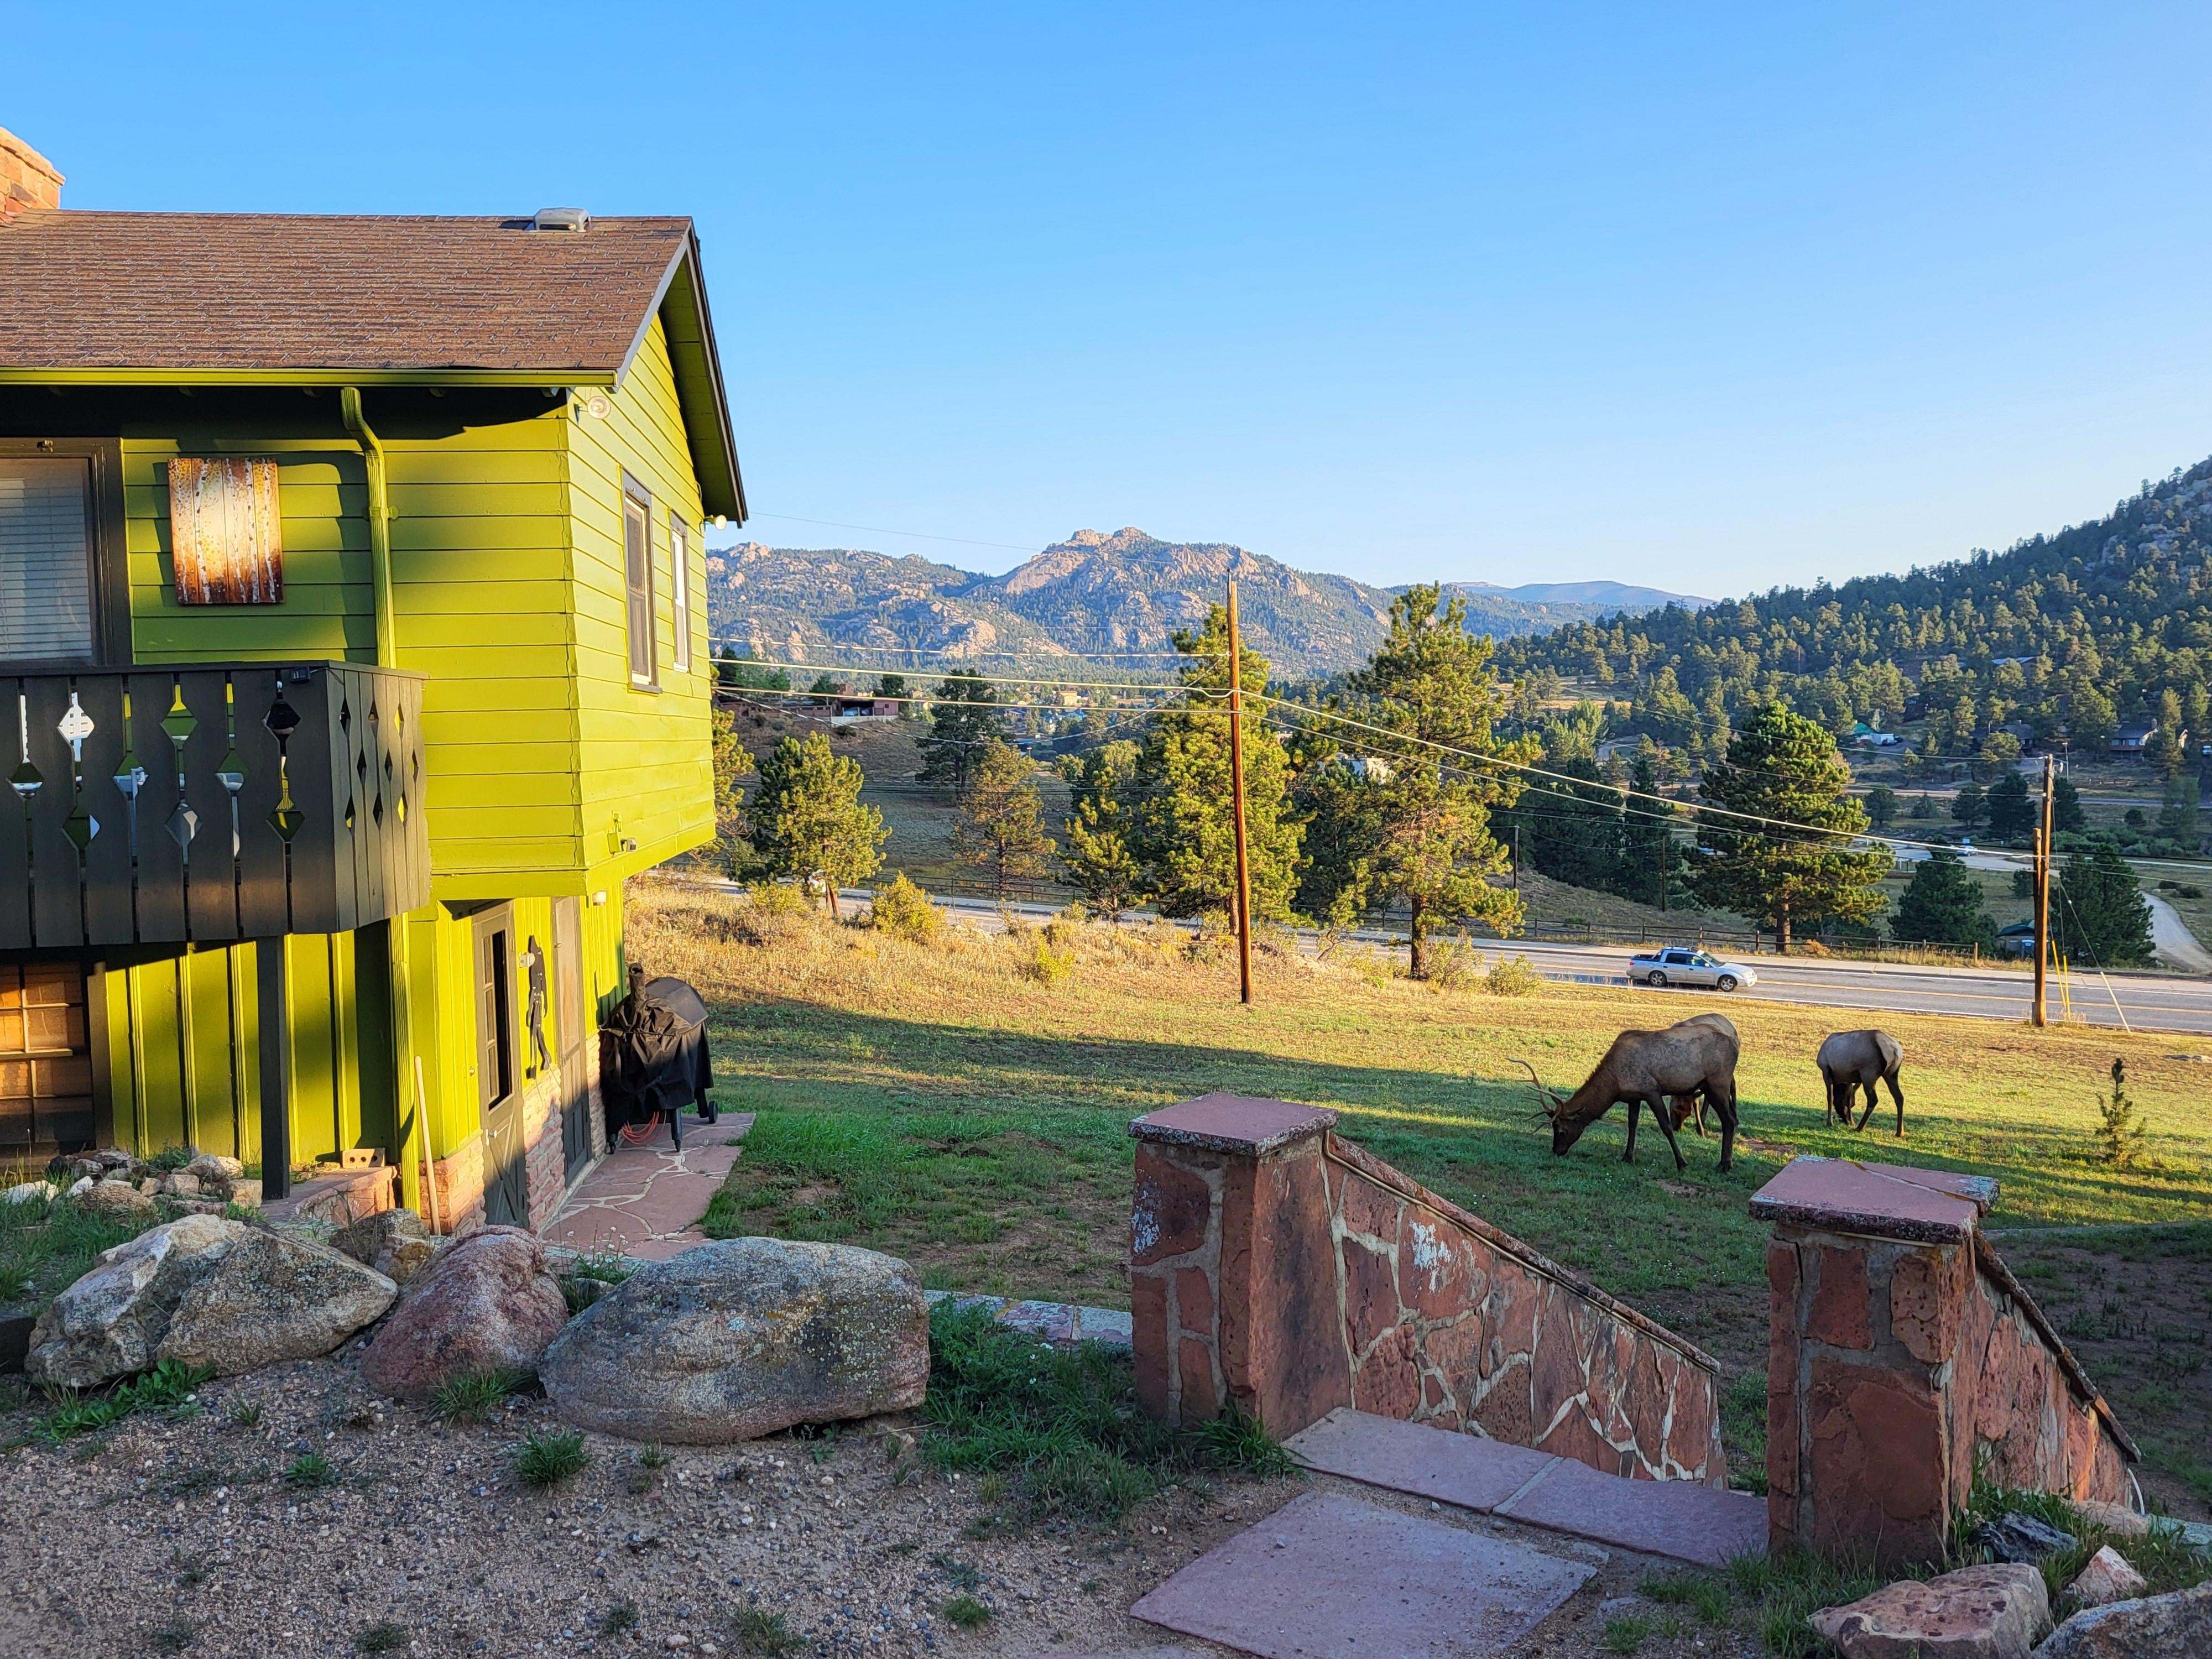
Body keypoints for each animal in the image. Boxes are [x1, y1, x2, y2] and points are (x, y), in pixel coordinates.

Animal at [1519, 1014, 1742, 1174]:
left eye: (1562, 1131)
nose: (1557, 1151)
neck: (1615, 1085)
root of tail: (1736, 1042)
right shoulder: (1634, 1096)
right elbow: (1632, 1124)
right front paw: (1627, 1157)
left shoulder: (1651, 1090)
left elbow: (1666, 1126)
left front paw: (1682, 1163)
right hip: (1709, 1086)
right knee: (1730, 1117)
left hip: (1718, 1082)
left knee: (1729, 1119)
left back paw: (1725, 1165)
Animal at [1816, 1029, 1905, 1135]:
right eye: (1853, 1105)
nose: (1845, 1121)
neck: (1840, 1080)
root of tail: (1895, 1050)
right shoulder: (1851, 1079)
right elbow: (1850, 1098)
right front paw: (1852, 1121)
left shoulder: (1825, 1069)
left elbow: (1830, 1097)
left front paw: (1829, 1122)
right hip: (1891, 1074)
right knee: (1899, 1098)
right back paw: (1900, 1132)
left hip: (1869, 1073)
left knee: (1873, 1099)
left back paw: (1860, 1127)